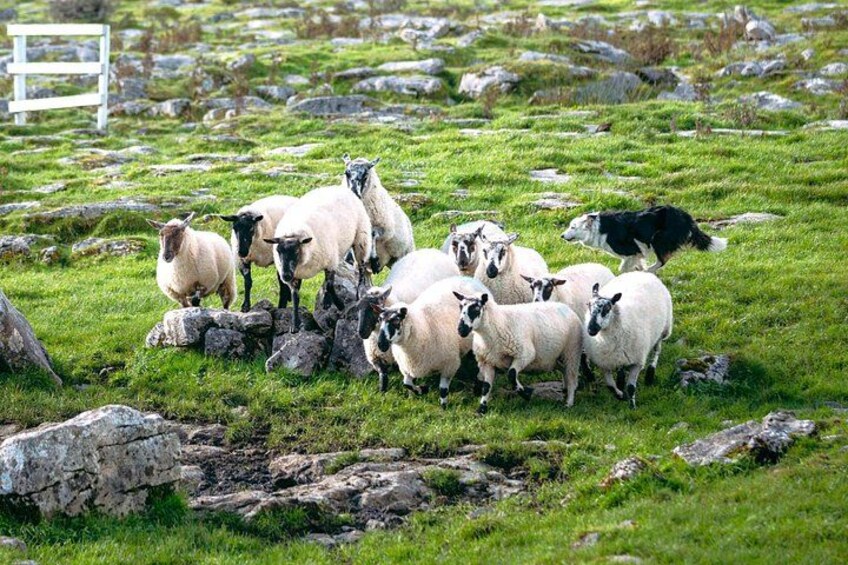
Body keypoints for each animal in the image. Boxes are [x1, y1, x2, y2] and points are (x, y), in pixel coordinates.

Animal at [263, 185, 372, 332]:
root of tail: (338, 187)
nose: (285, 276)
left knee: (361, 267)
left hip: (361, 238)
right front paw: (295, 324)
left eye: (296, 251)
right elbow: (295, 297)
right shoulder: (295, 276)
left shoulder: (330, 262)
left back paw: (358, 291)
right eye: (278, 251)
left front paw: (340, 305)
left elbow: (330, 286)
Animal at [355, 249, 460, 392]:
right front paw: (382, 392)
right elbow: (383, 376)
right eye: (357, 309)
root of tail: (431, 250)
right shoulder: (377, 357)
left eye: (374, 310)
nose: (361, 332)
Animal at [376, 276, 488, 408]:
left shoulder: (449, 365)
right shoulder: (406, 368)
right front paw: (422, 390)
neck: (422, 327)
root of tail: (468, 278)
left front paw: (443, 407)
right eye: (379, 320)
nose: (380, 344)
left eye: (396, 322)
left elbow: (443, 390)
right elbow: (407, 383)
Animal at [453, 292, 583, 413]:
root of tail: (566, 307)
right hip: (555, 358)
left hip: (572, 351)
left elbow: (511, 375)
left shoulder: (525, 354)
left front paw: (526, 394)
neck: (498, 323)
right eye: (460, 307)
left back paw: (569, 402)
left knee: (572, 377)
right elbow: (486, 387)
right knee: (564, 371)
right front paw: (482, 408)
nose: (461, 330)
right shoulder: (487, 362)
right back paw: (565, 391)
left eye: (476, 309)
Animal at [583, 272, 673, 409]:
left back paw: (650, 374)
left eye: (607, 308)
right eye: (588, 305)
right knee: (621, 369)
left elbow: (631, 387)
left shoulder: (637, 361)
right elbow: (610, 385)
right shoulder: (604, 363)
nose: (591, 329)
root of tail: (643, 272)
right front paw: (620, 395)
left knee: (657, 350)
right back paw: (621, 381)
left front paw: (632, 406)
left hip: (664, 329)